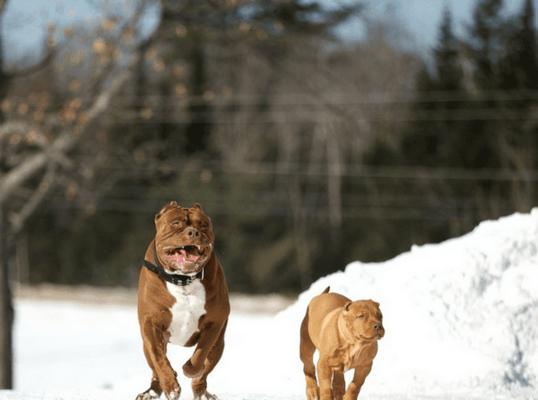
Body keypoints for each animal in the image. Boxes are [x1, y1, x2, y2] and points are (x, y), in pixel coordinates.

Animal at [136, 203, 228, 400]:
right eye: (176, 223)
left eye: (203, 225)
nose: (193, 232)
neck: (182, 279)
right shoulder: (150, 325)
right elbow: (158, 358)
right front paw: (171, 385)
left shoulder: (214, 323)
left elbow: (201, 354)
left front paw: (189, 369)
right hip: (147, 345)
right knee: (154, 366)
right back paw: (152, 391)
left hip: (219, 344)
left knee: (205, 369)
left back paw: (202, 392)